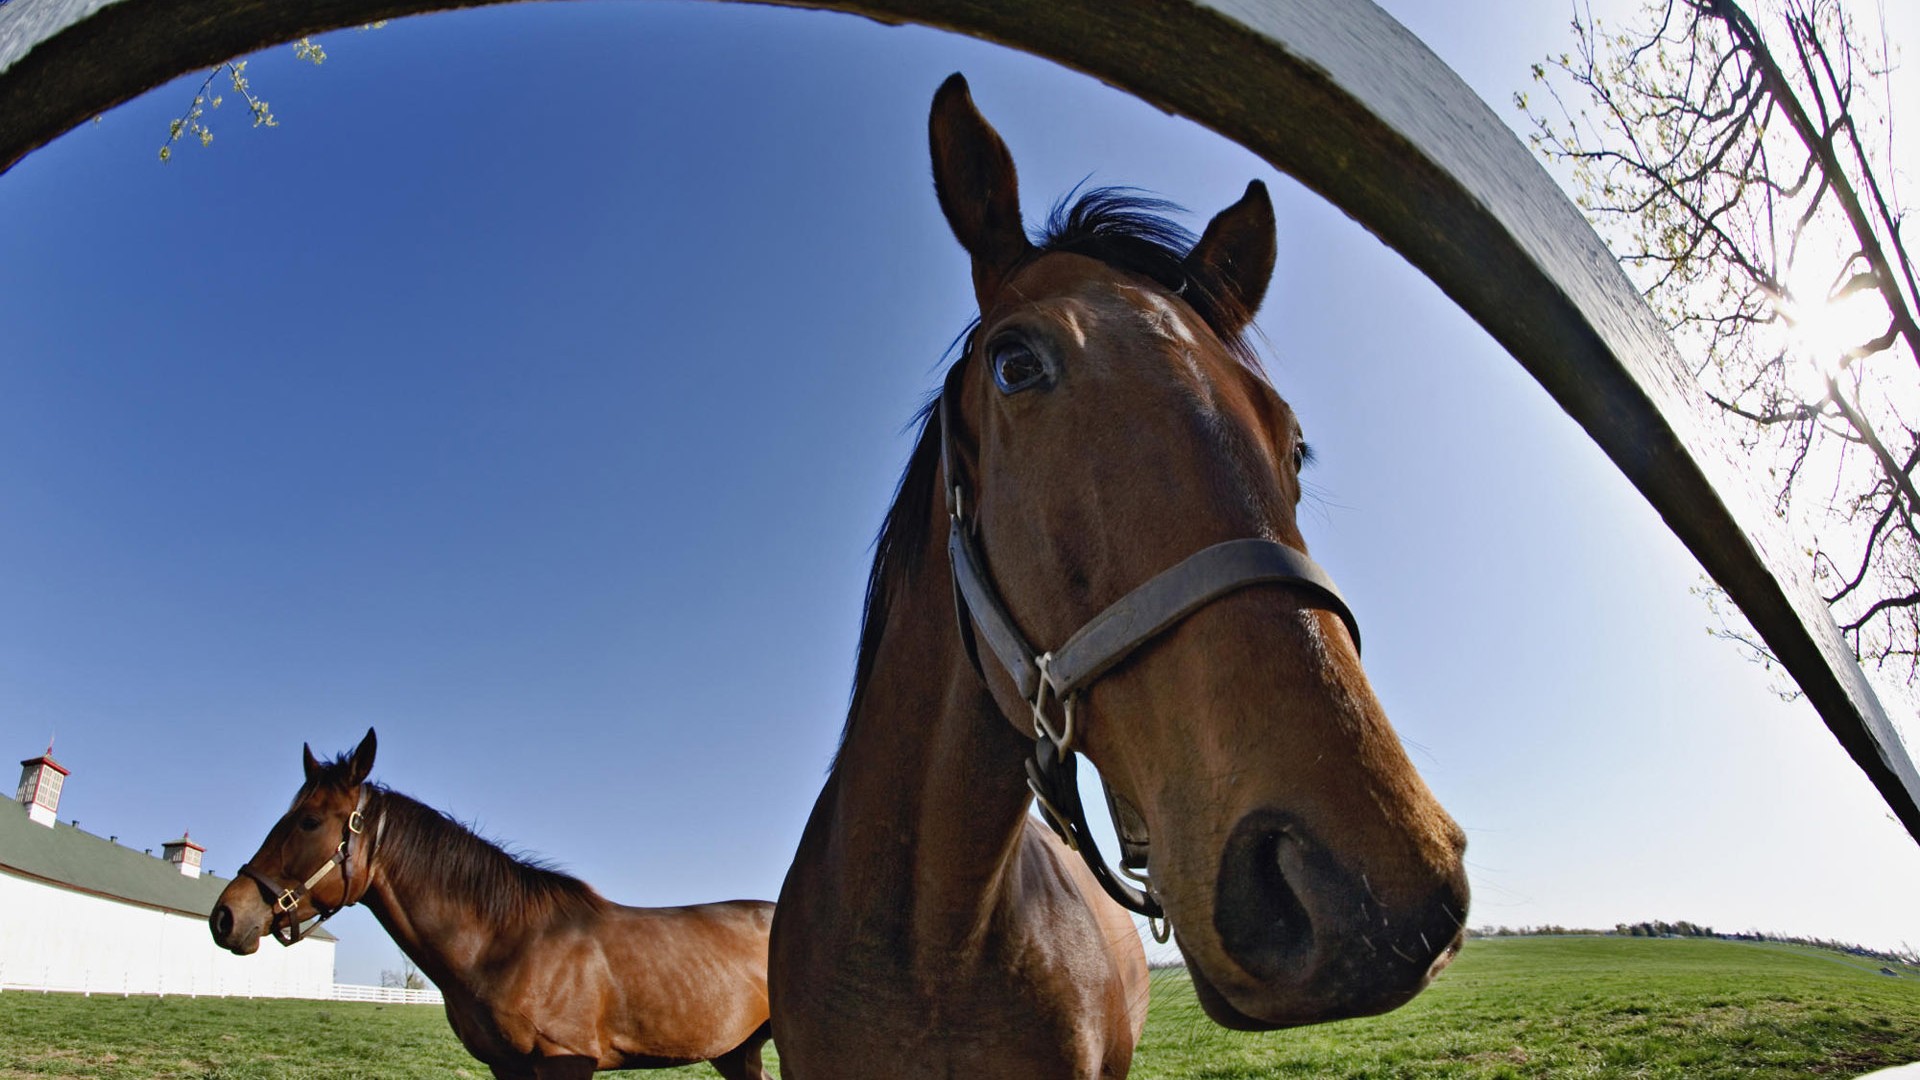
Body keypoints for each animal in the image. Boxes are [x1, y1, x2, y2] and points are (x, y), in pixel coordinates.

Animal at [208, 722, 771, 1076]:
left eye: (308, 821)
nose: (226, 916)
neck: (508, 943)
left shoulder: (565, 1062)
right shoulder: (508, 1068)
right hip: (736, 1054)